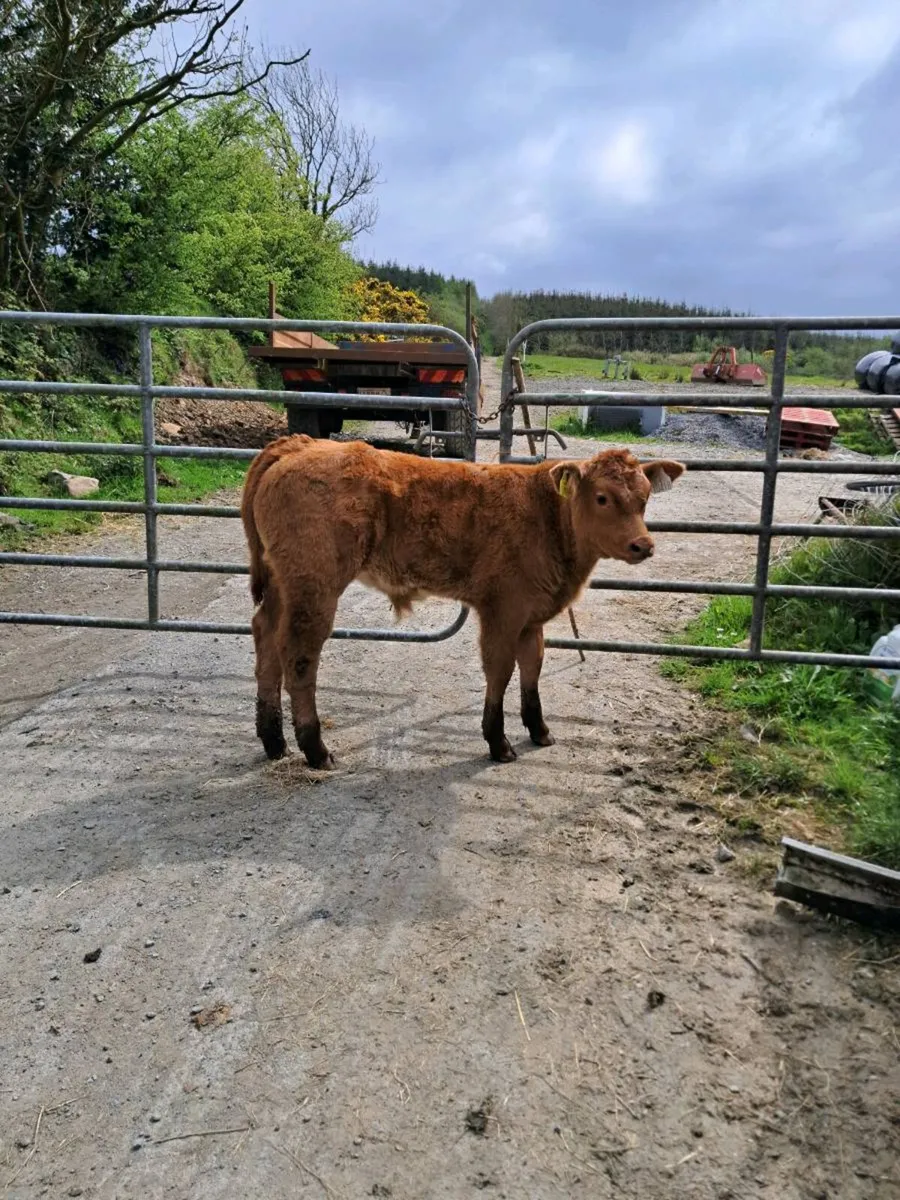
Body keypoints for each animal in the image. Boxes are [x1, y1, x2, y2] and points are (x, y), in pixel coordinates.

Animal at [241, 436, 685, 768]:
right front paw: (498, 741)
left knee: (265, 637)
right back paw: (315, 750)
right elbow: (500, 670)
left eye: (645, 497)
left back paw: (274, 740)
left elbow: (533, 666)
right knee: (299, 655)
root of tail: (298, 445)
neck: (547, 518)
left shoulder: (532, 615)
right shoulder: (502, 609)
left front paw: (538, 729)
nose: (643, 545)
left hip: (284, 581)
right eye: (603, 497)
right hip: (314, 584)